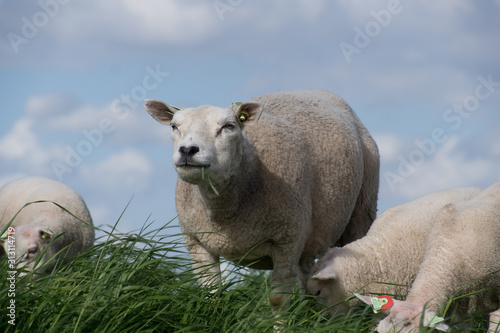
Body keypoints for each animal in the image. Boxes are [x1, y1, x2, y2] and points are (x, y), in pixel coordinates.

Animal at [145, 89, 378, 308]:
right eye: (174, 126)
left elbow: (278, 299)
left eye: (229, 126)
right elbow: (210, 294)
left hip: (361, 211)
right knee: (306, 273)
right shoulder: (197, 242)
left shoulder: (287, 240)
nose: (187, 150)